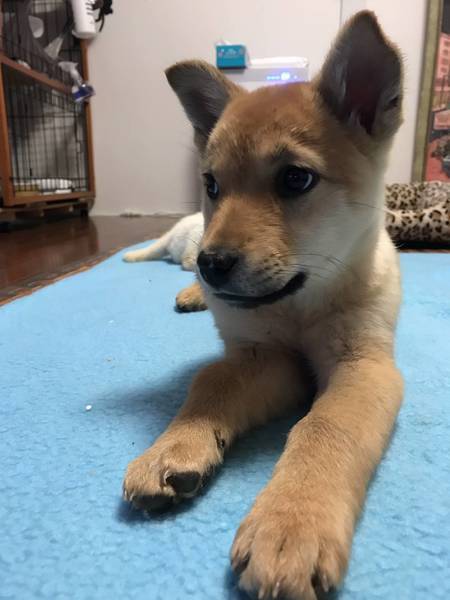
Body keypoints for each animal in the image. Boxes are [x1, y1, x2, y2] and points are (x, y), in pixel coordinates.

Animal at [124, 11, 404, 599]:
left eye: (296, 178)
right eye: (211, 185)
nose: (210, 264)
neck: (299, 303)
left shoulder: (364, 365)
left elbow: (324, 427)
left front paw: (291, 524)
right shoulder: (261, 357)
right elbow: (210, 385)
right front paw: (172, 449)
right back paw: (190, 294)